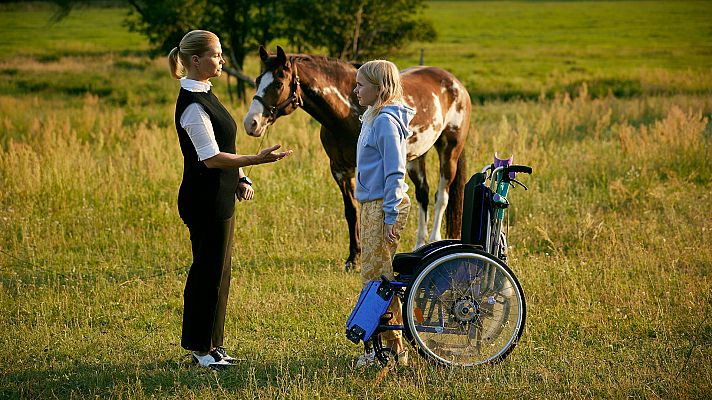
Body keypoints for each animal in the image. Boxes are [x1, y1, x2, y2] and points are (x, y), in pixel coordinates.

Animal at [242, 46, 470, 272]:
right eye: (257, 80)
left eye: (278, 83)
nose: (251, 123)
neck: (347, 112)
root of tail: (454, 83)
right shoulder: (340, 170)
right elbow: (351, 212)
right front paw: (353, 258)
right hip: (416, 156)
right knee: (423, 193)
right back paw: (419, 245)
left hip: (449, 151)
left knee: (441, 197)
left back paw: (434, 240)